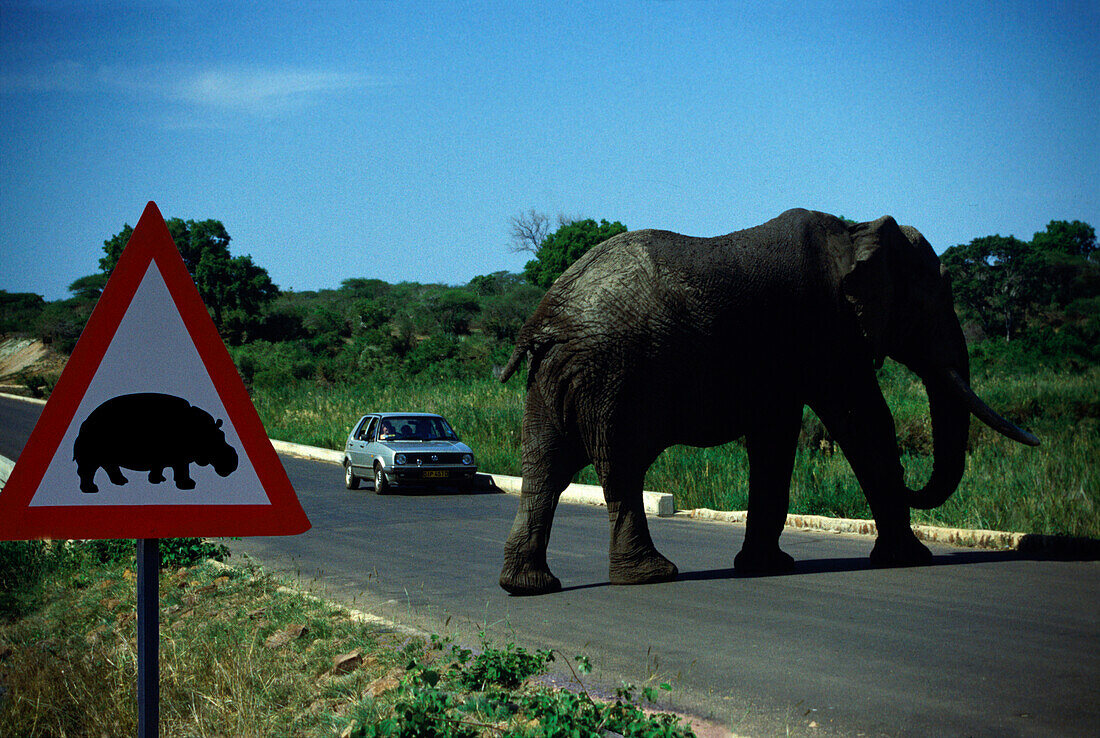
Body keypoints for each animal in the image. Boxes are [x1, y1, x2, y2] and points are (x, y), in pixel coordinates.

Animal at [74, 391, 238, 497]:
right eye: (217, 440)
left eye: (222, 435)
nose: (234, 460)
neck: (202, 430)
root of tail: (84, 422)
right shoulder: (180, 458)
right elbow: (182, 470)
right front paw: (189, 485)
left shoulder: (160, 458)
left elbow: (158, 469)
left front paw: (158, 480)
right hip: (92, 455)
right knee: (87, 471)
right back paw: (91, 490)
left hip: (106, 456)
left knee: (109, 467)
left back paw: (121, 482)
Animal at [499, 206, 1038, 593]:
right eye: (932, 303)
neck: (856, 233)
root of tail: (542, 319)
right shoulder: (828, 330)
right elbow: (862, 422)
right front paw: (909, 561)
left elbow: (774, 438)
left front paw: (766, 567)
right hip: (611, 374)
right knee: (621, 466)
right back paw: (653, 576)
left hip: (557, 376)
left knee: (545, 469)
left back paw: (528, 586)